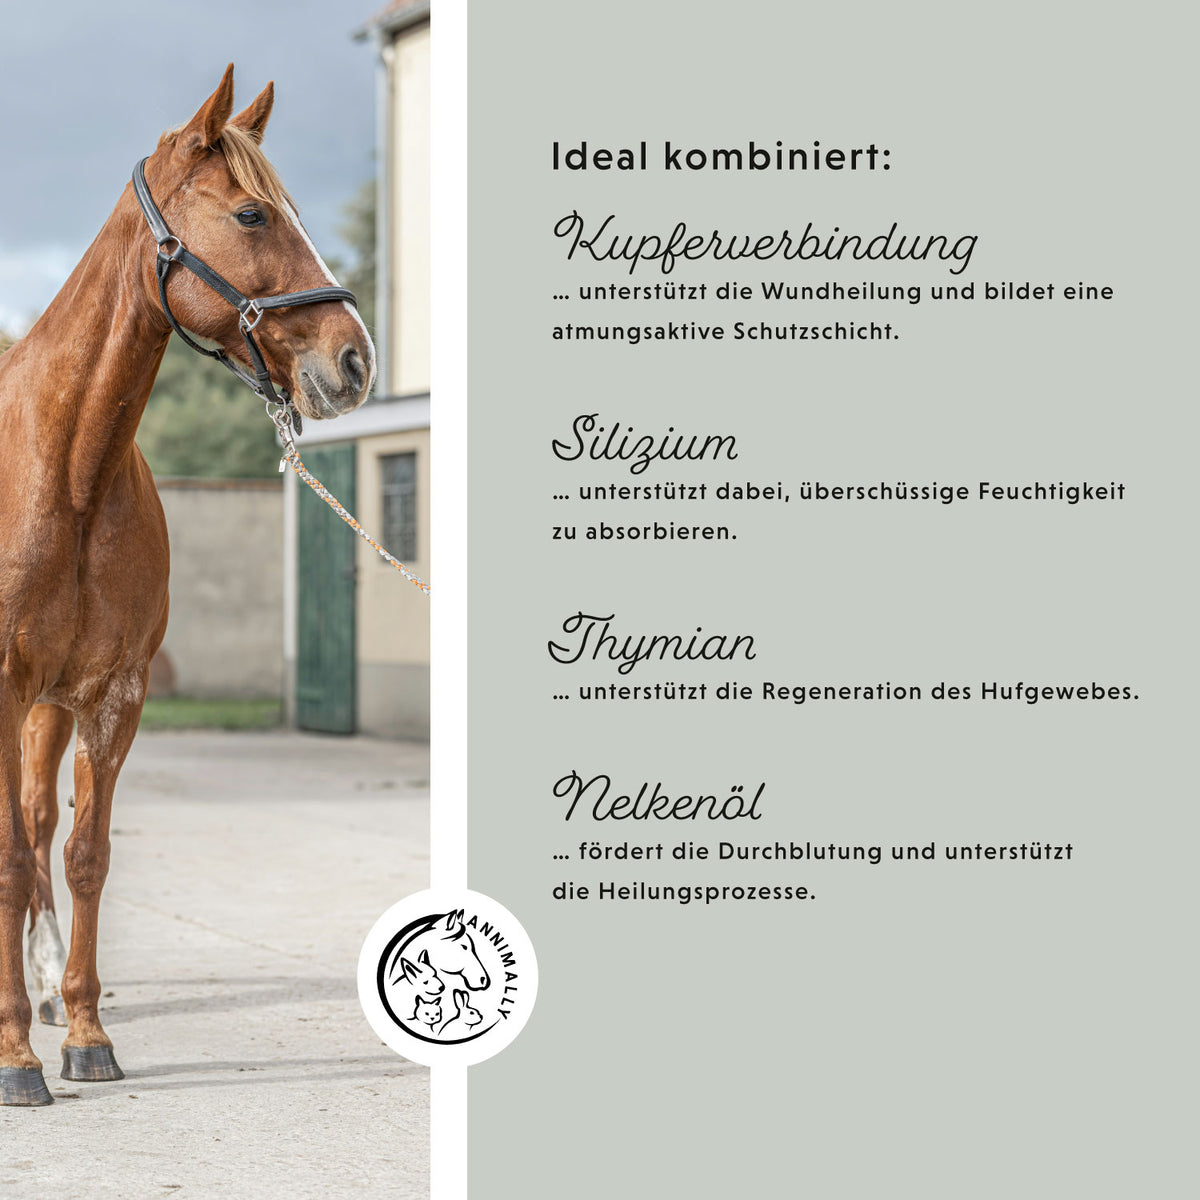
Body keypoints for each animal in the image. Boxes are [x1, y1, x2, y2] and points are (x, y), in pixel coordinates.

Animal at [0, 65, 375, 1106]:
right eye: (251, 214)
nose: (355, 360)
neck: (67, 469)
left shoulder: (110, 696)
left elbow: (82, 856)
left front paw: (83, 1033)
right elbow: (8, 861)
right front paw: (14, 1056)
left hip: (47, 710)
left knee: (40, 828)